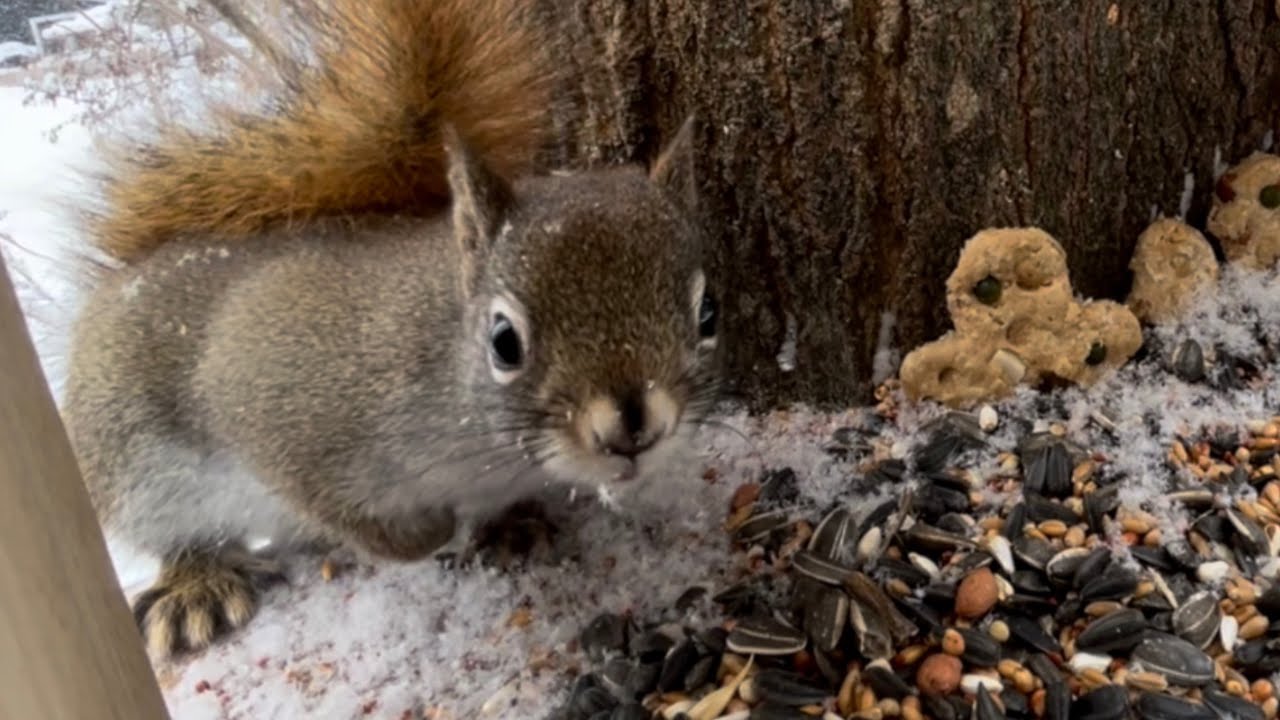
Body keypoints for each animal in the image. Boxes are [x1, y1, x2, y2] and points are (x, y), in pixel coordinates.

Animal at [60, 0, 723, 658]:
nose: (633, 427)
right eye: (504, 342)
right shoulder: (279, 407)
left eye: (708, 313)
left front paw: (507, 522)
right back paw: (196, 585)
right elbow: (345, 511)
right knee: (178, 534)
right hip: (131, 460)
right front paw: (430, 530)